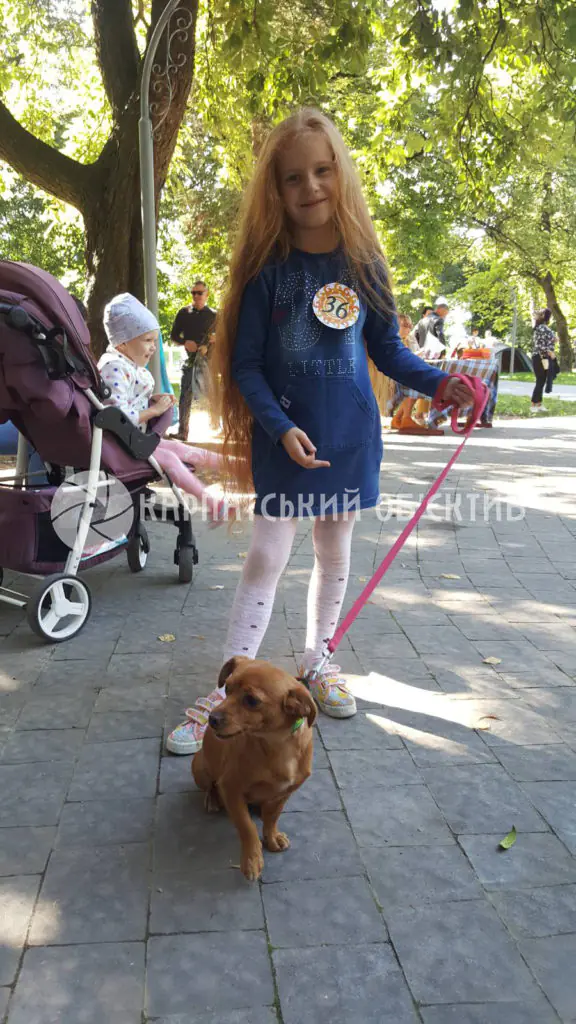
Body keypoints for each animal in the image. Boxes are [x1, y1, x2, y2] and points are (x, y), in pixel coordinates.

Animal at [192, 656, 316, 881]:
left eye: (251, 700)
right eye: (227, 688)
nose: (212, 719)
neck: (276, 745)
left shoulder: (286, 792)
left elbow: (273, 817)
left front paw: (272, 837)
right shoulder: (230, 788)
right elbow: (246, 826)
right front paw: (252, 860)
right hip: (199, 766)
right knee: (210, 786)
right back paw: (213, 799)